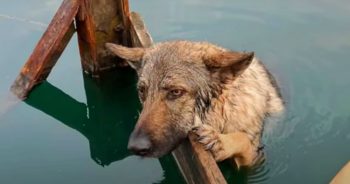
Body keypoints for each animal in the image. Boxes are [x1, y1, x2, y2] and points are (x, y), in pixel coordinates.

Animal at [105, 41, 284, 167]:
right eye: (142, 91)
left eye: (176, 92)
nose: (135, 147)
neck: (222, 111)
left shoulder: (256, 160)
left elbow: (243, 139)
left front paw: (220, 142)